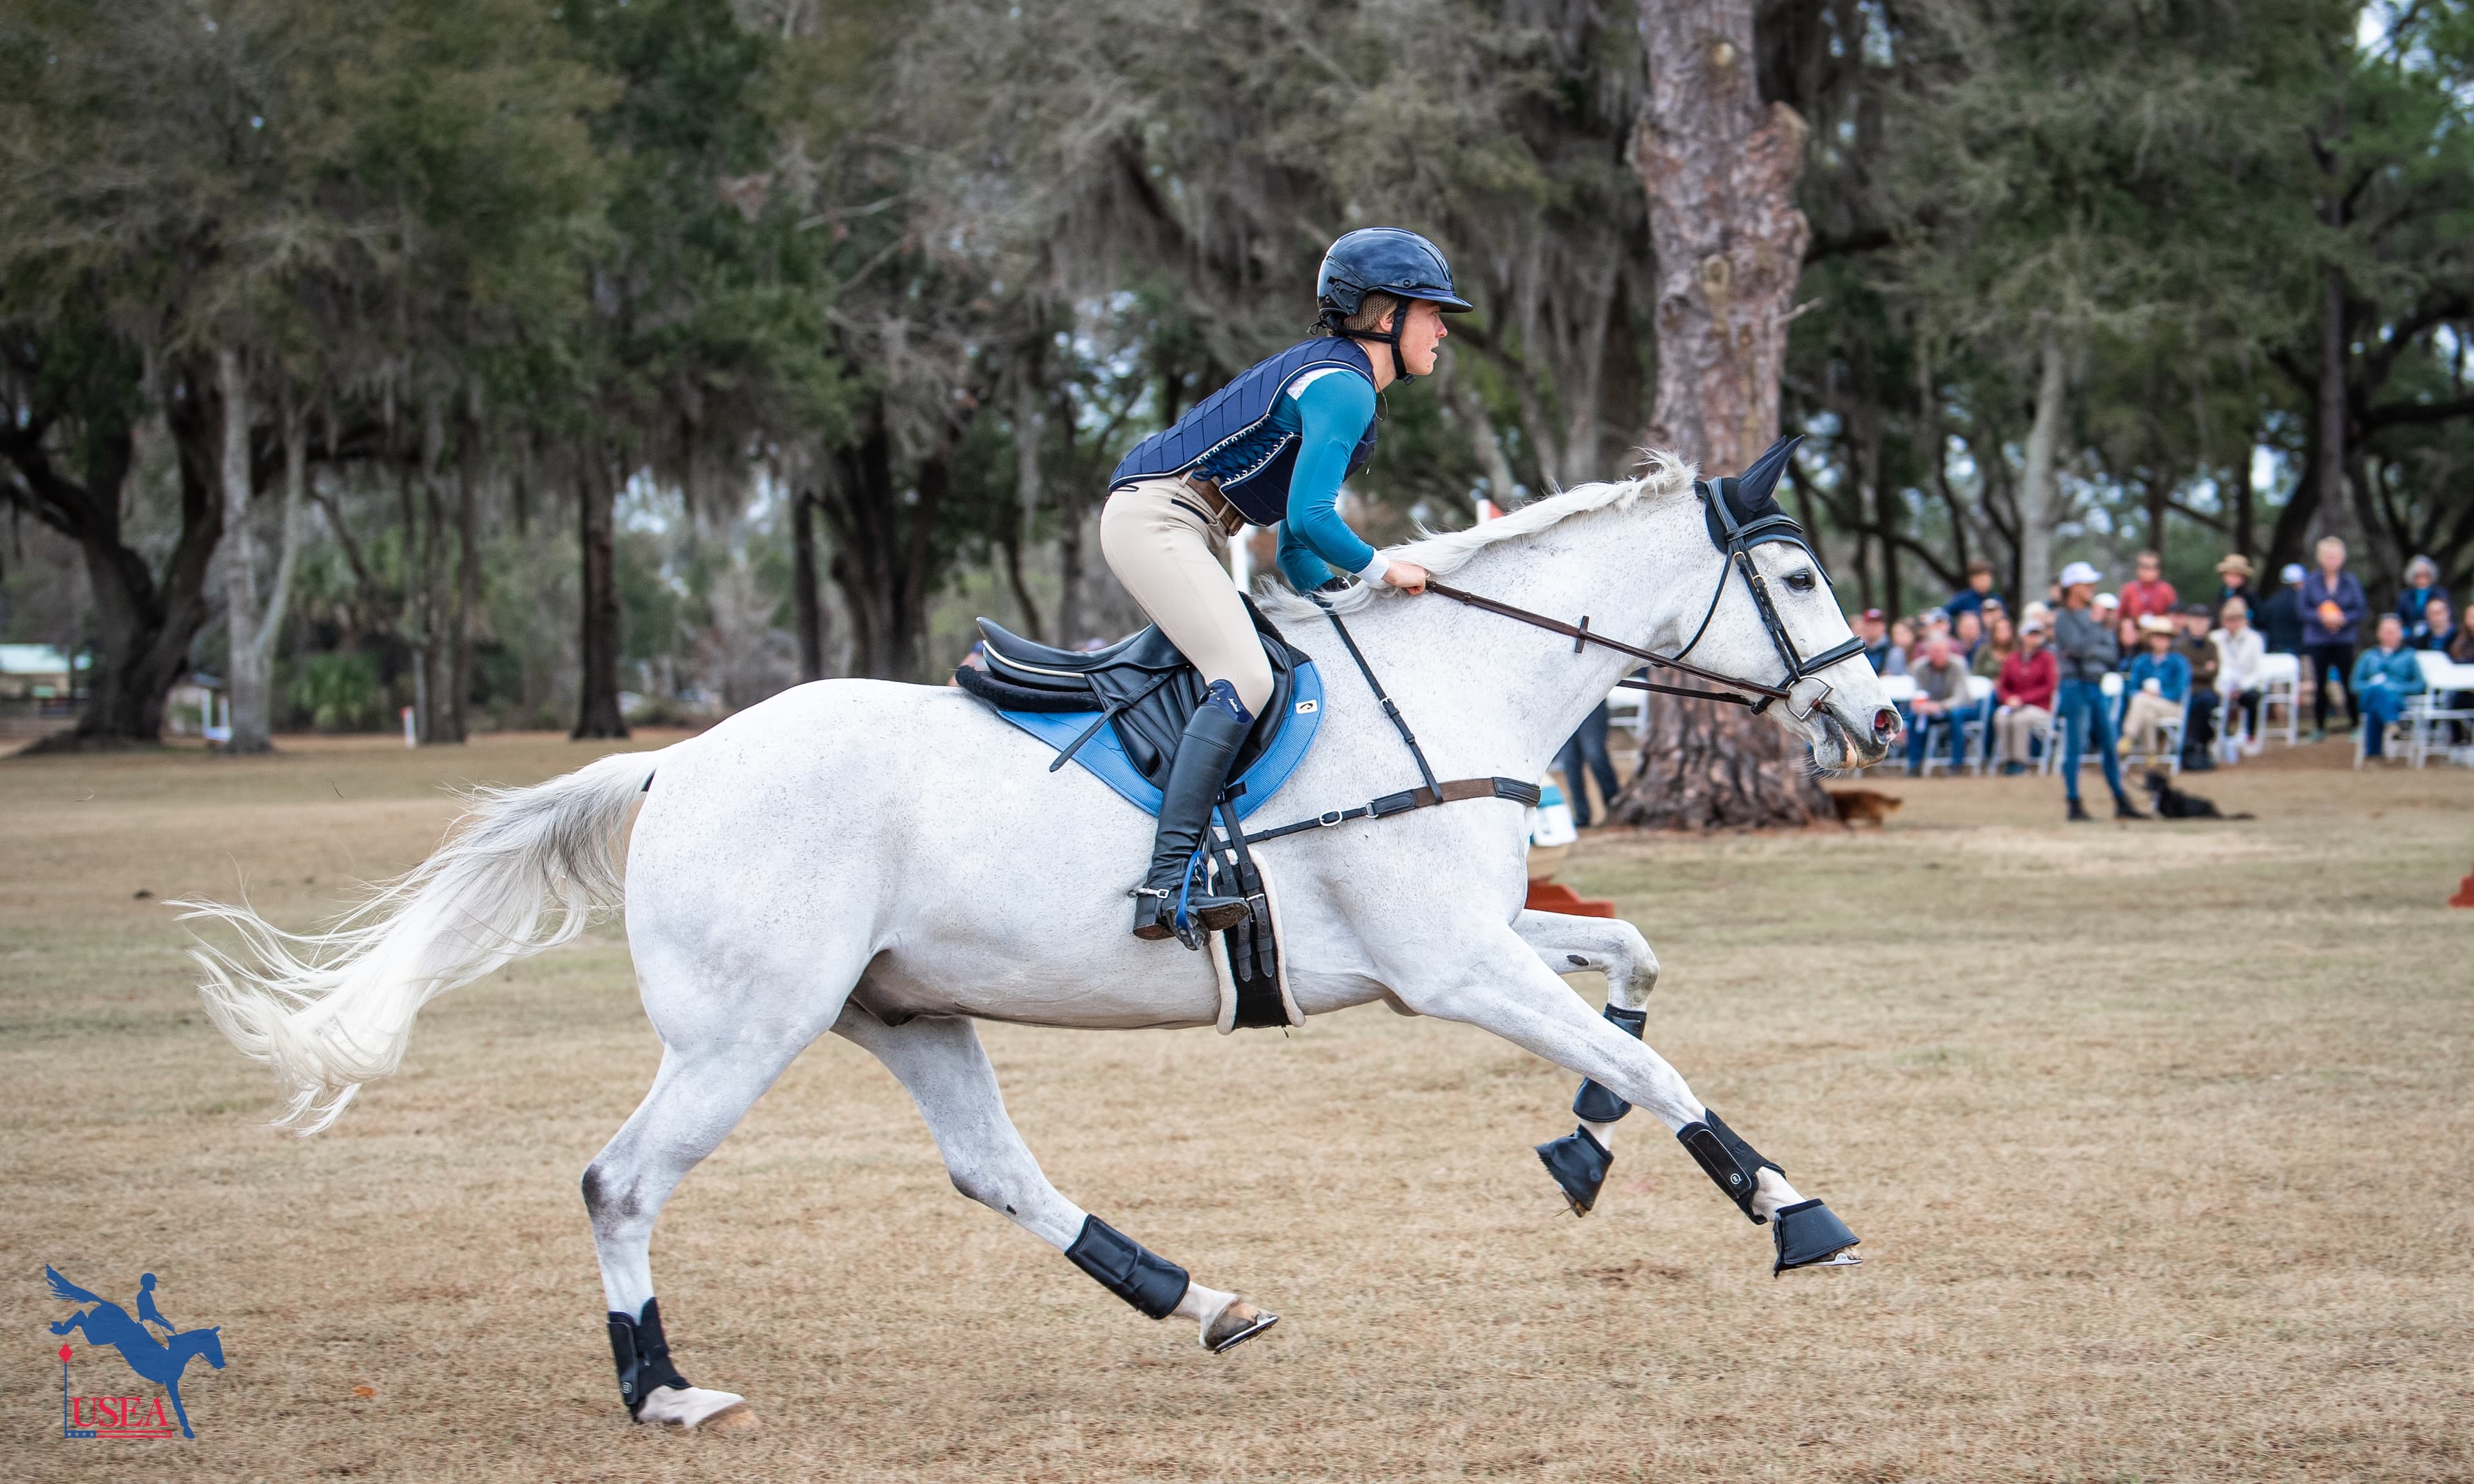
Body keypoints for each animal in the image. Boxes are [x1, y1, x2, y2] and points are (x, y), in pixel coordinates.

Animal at [183, 450, 1898, 1431]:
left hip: (908, 1010)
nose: (1882, 716)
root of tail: (671, 764)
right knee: (621, 1182)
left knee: (993, 1173)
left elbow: (1634, 970)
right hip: (746, 1031)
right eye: (1800, 570)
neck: (1456, 681)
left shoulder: (1474, 944)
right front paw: (1789, 1208)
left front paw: (1582, 1145)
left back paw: (1197, 1299)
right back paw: (659, 1388)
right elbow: (1644, 1051)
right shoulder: (1450, 968)